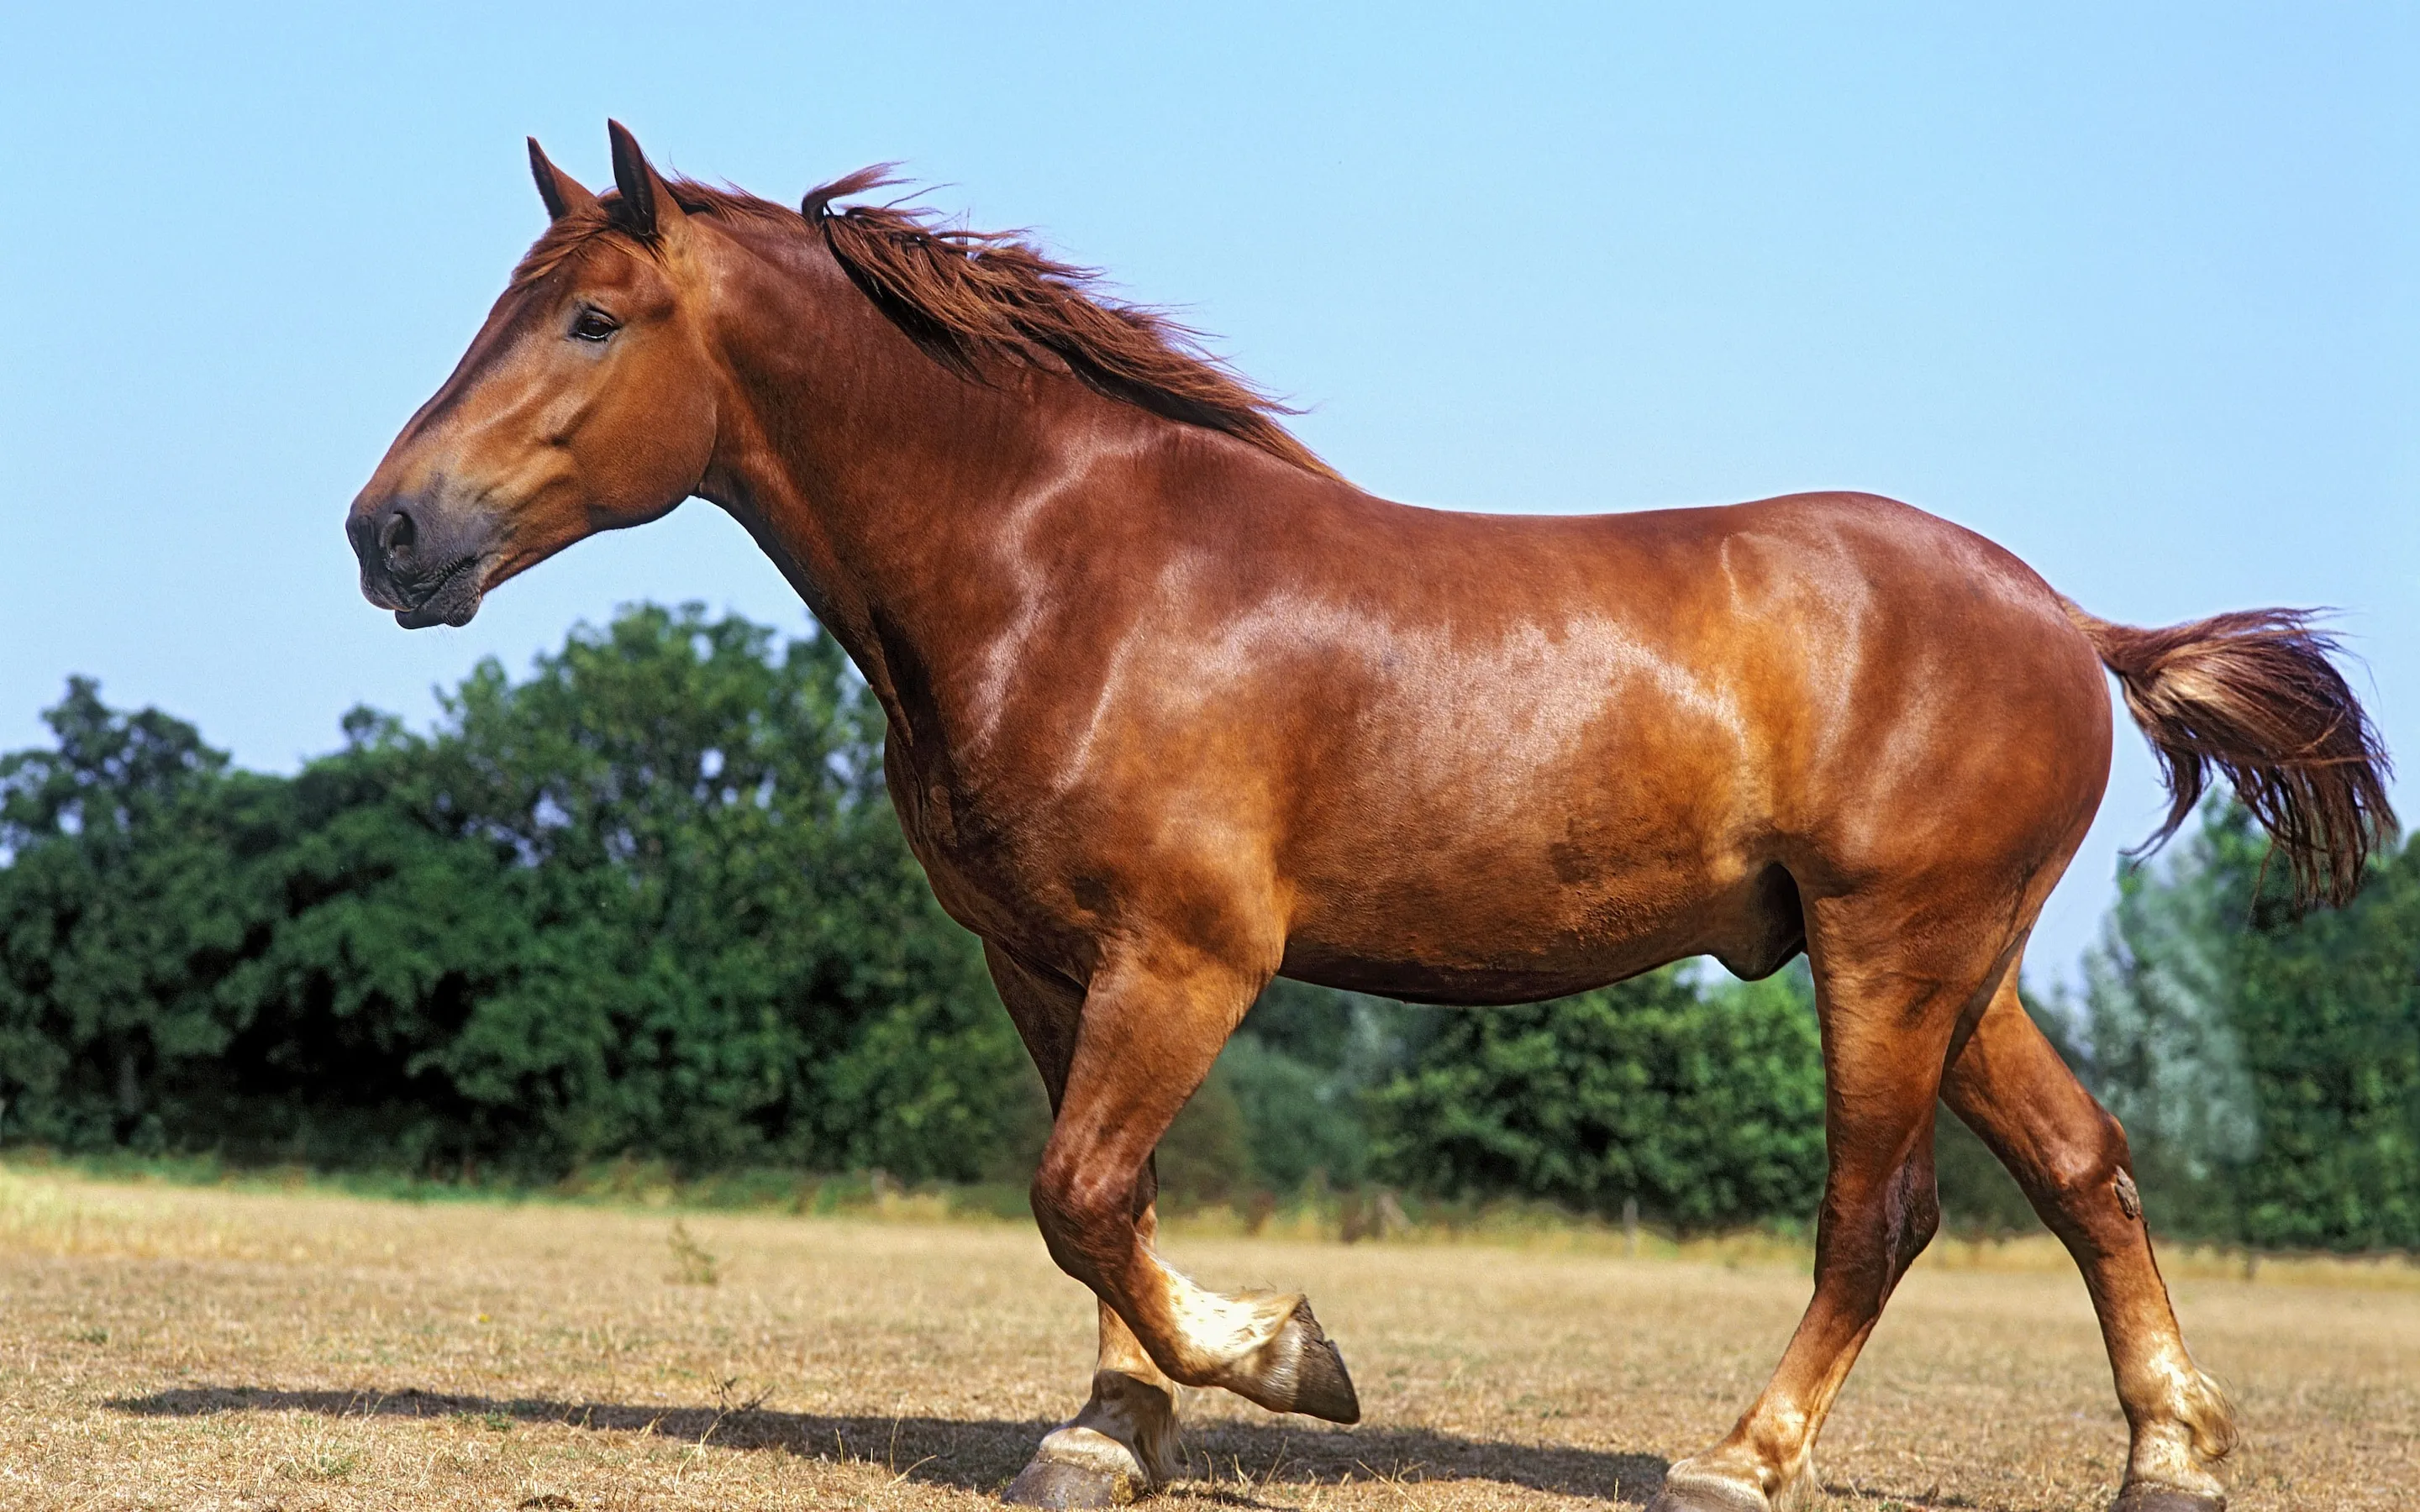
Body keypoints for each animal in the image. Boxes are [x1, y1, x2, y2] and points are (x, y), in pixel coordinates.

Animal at [341, 127, 2381, 1509]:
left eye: (594, 318)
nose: (389, 533)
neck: (1068, 568)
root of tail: (2072, 621)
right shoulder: (1043, 961)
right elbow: (1098, 1200)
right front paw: (1108, 1434)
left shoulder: (1193, 958)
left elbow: (1085, 1192)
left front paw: (1285, 1359)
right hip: (1968, 969)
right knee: (2089, 1171)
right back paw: (2170, 1458)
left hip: (1894, 954)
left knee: (1879, 1214)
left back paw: (1740, 1456)